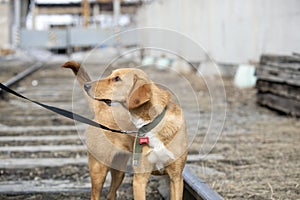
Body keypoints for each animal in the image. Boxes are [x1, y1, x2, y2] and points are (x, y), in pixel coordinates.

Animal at [83, 67, 188, 200]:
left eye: (117, 78)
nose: (86, 85)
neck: (151, 123)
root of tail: (101, 110)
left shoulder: (176, 178)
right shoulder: (139, 179)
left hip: (119, 171)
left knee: (111, 194)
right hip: (98, 170)